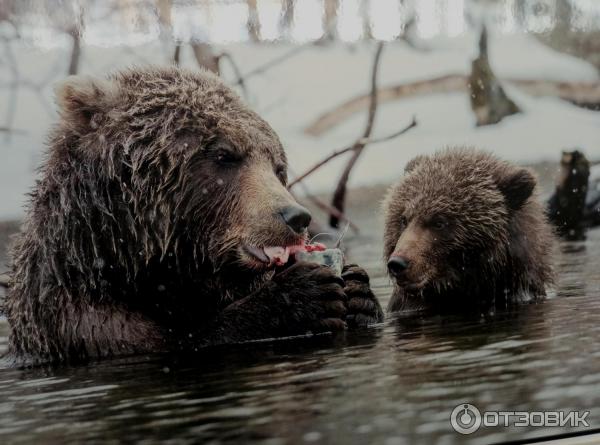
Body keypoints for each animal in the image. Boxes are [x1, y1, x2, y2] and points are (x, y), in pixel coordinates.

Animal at [4, 67, 382, 364]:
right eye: (225, 155)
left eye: (277, 166)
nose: (295, 216)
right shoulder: (81, 320)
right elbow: (181, 342)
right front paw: (301, 296)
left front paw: (357, 288)